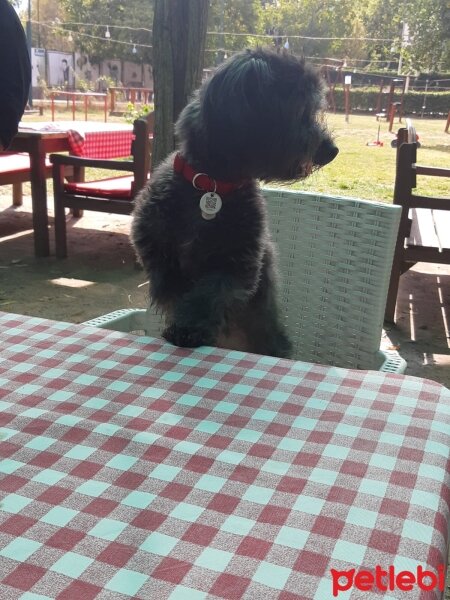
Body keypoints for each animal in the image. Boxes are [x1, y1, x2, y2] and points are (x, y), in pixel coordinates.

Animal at [130, 48, 338, 356]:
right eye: (301, 111)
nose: (332, 150)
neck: (212, 185)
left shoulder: (239, 263)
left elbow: (209, 292)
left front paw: (190, 327)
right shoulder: (158, 255)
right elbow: (176, 290)